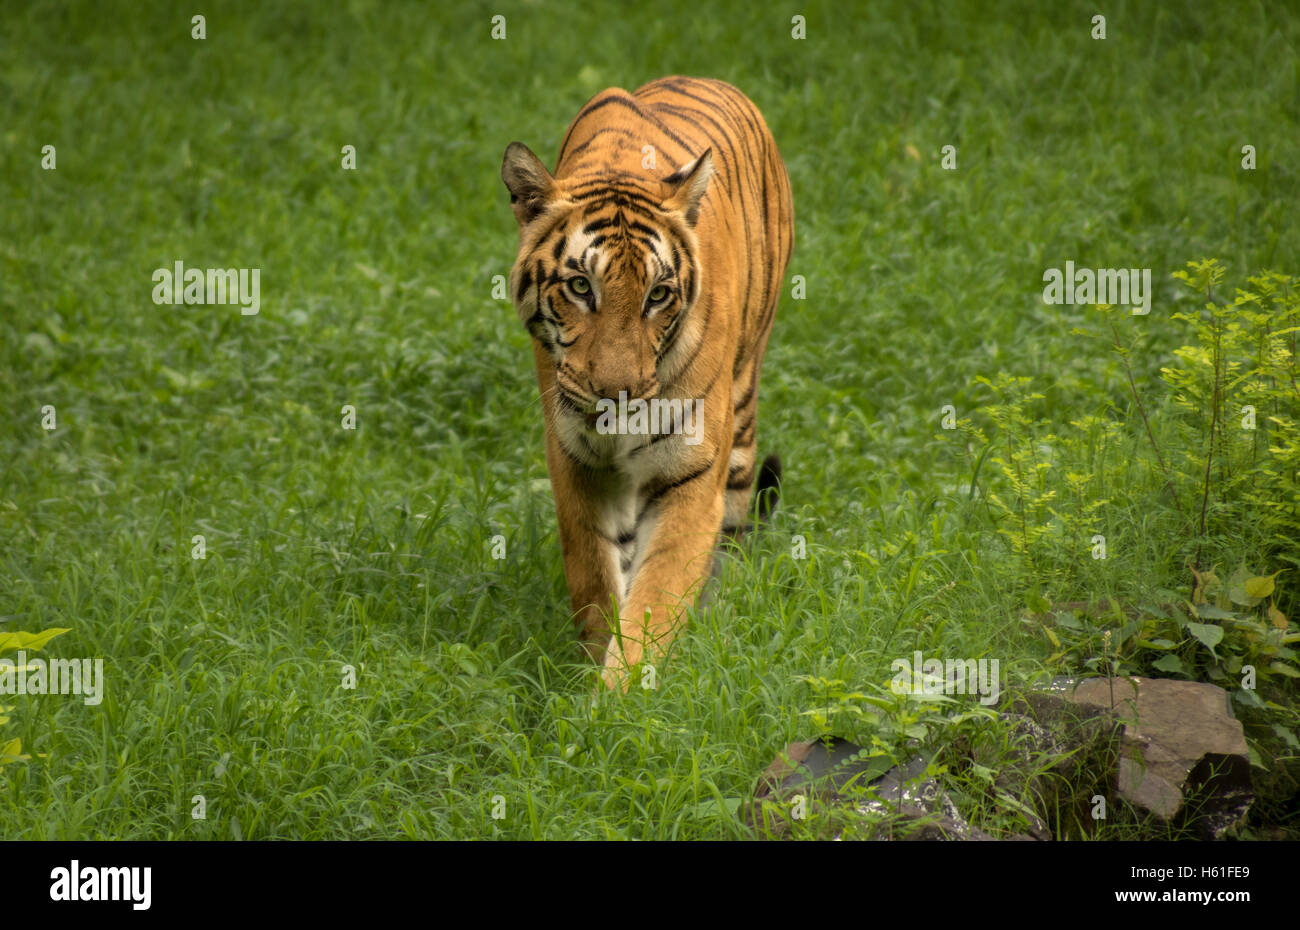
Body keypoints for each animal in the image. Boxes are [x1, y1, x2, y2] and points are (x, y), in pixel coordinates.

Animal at [500, 75, 793, 690]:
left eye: (658, 294)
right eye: (580, 286)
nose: (619, 393)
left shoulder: (691, 473)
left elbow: (656, 599)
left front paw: (622, 696)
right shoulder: (576, 463)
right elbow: (595, 583)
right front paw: (589, 677)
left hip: (742, 414)